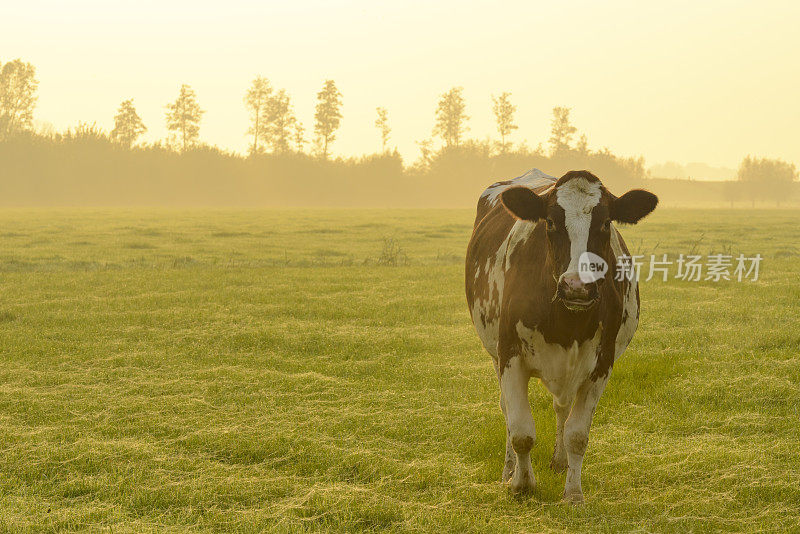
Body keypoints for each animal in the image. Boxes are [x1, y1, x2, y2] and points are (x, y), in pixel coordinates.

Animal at [466, 170, 660, 504]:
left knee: (561, 408)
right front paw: (521, 484)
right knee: (506, 409)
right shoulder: (510, 356)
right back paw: (508, 470)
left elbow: (577, 434)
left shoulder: (601, 365)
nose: (577, 286)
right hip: (494, 352)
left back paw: (558, 462)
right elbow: (521, 431)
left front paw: (573, 493)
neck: (568, 322)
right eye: (550, 222)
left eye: (605, 223)